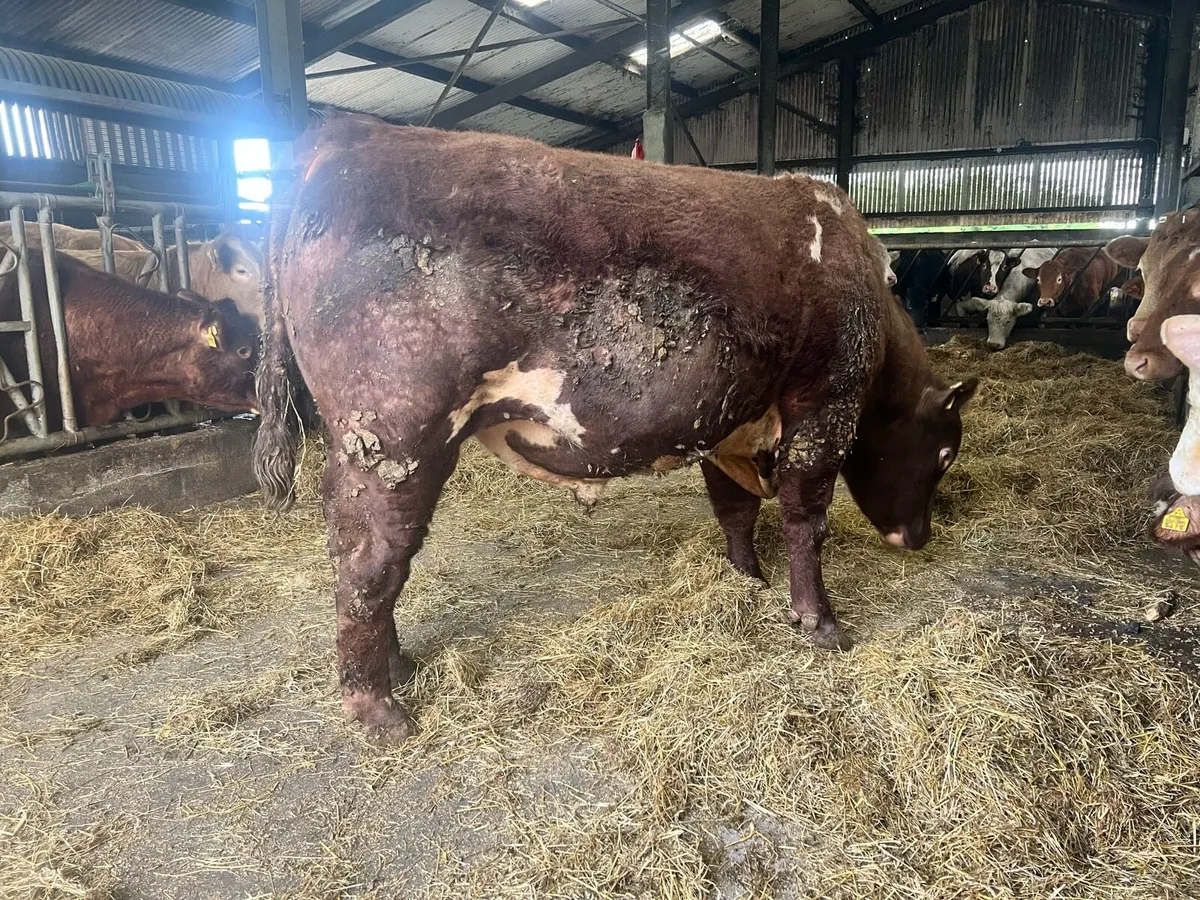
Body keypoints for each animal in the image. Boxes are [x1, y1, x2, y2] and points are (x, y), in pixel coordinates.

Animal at [252, 112, 978, 744]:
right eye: (945, 452)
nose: (919, 538)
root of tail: (344, 134)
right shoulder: (823, 406)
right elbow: (807, 520)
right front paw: (821, 623)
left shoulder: (724, 422)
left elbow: (734, 509)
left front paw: (746, 577)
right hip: (393, 441)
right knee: (370, 562)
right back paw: (380, 709)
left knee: (374, 563)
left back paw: (397, 667)